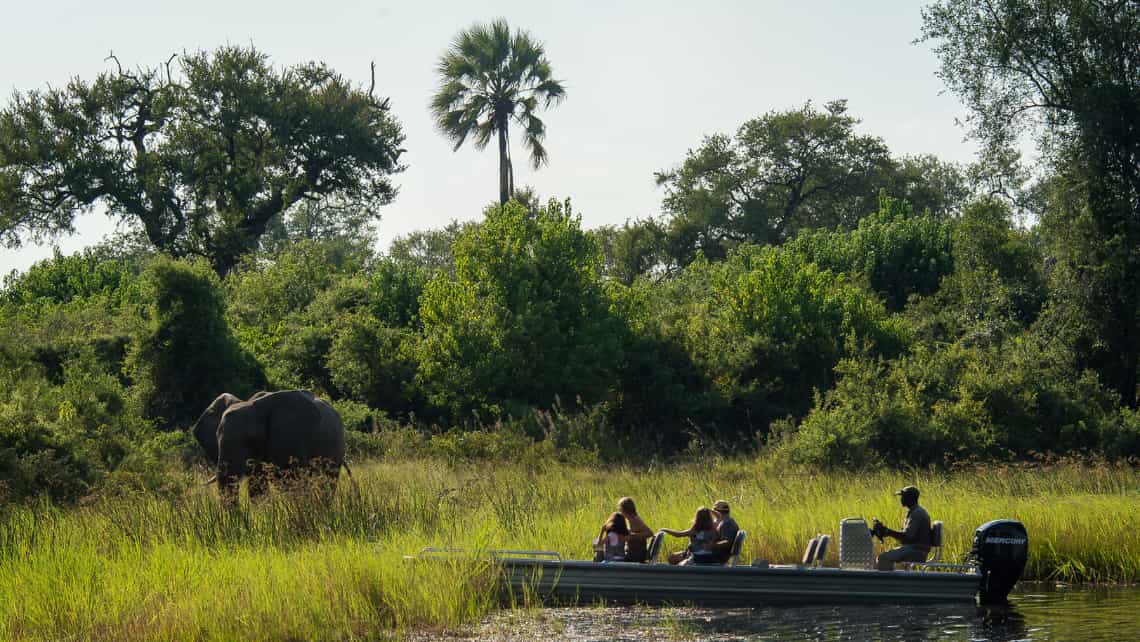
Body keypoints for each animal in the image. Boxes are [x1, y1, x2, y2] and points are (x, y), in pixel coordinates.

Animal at [190, 389, 346, 504]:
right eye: (216, 438)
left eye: (250, 439)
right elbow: (257, 486)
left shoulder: (290, 436)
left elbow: (291, 480)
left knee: (327, 481)